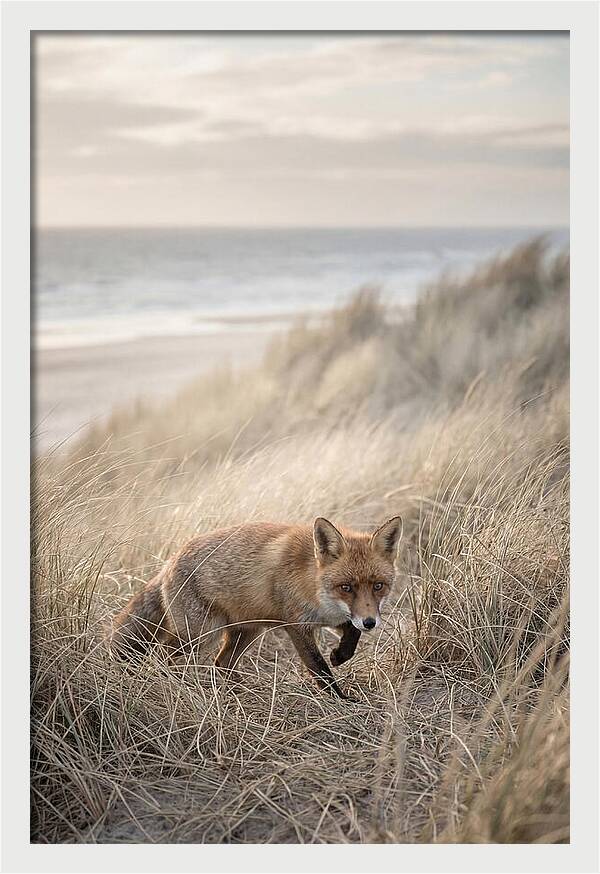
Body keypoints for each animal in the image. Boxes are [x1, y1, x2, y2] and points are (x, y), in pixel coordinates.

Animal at [109, 515, 402, 699]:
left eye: (378, 586)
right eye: (346, 587)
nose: (371, 622)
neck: (314, 584)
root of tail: (169, 561)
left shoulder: (334, 618)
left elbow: (352, 634)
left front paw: (340, 655)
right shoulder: (296, 625)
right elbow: (319, 669)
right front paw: (342, 700)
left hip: (246, 631)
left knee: (221, 662)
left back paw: (239, 691)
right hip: (201, 635)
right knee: (164, 655)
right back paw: (176, 685)